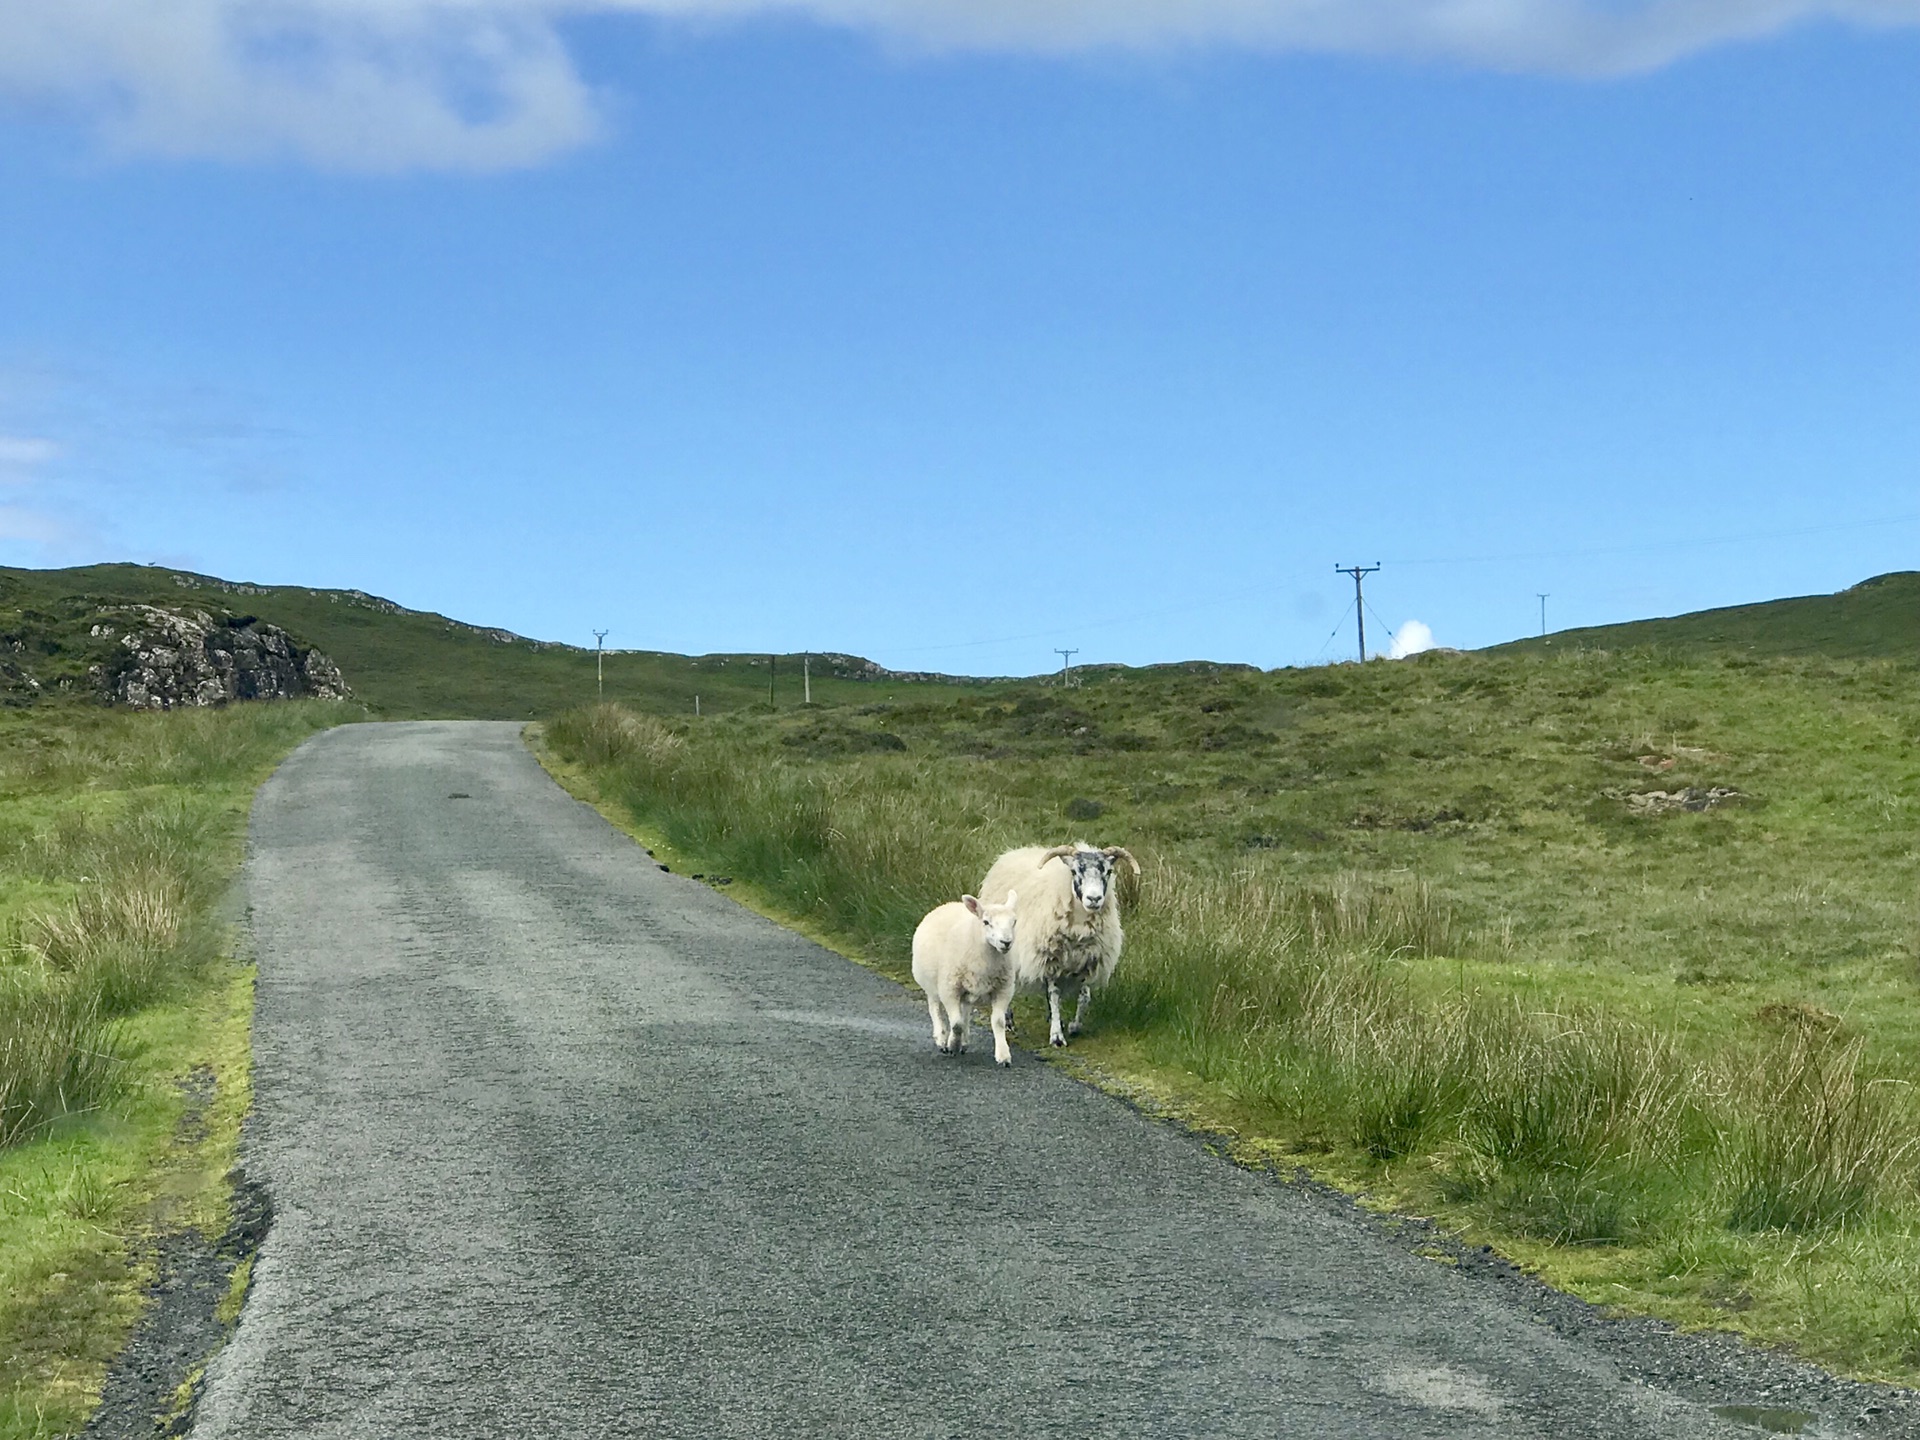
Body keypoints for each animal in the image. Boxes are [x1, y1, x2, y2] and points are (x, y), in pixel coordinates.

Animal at [910, 890, 1021, 1075]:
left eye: (1014, 922)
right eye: (986, 922)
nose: (1006, 942)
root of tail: (948, 904)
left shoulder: (1003, 989)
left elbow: (998, 1022)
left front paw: (1003, 1055)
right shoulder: (949, 988)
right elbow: (956, 1024)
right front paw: (952, 1045)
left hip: (967, 988)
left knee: (966, 1010)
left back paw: (964, 1041)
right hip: (932, 983)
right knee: (935, 1008)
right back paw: (941, 1038)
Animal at [983, 844, 1128, 1052]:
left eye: (1108, 871)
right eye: (1075, 871)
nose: (1094, 898)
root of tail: (1012, 852)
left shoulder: (1089, 961)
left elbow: (1084, 997)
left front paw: (1074, 1026)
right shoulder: (1050, 960)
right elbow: (1054, 995)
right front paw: (1057, 1036)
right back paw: (1008, 1018)